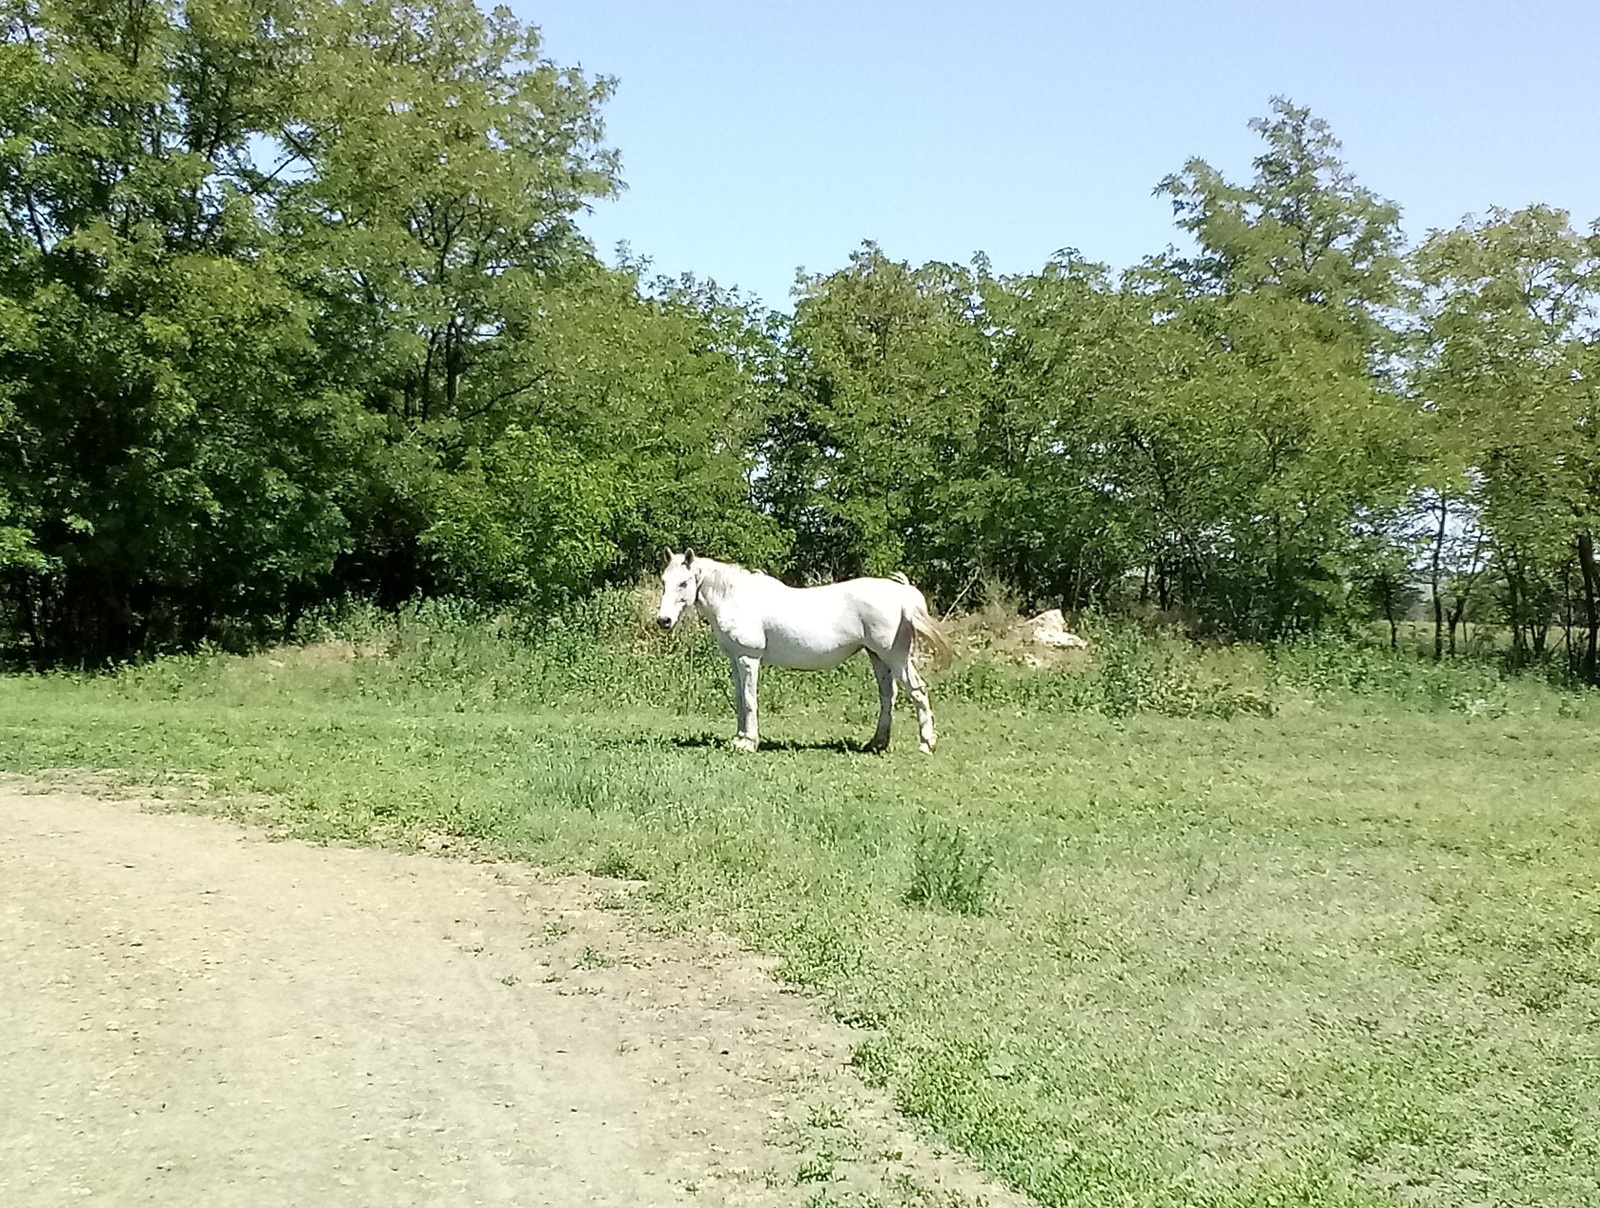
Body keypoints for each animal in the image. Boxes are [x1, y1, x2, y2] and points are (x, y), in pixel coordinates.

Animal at [652, 553, 947, 752]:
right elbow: (739, 699)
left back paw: (925, 744)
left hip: (896, 658)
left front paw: (749, 743)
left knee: (918, 691)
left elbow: (749, 700)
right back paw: (877, 743)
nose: (663, 621)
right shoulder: (736, 660)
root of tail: (904, 593)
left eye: (684, 583)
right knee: (888, 696)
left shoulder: (749, 658)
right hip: (879, 658)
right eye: (664, 581)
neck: (735, 598)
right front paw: (740, 738)